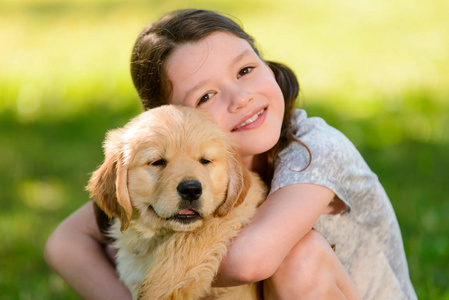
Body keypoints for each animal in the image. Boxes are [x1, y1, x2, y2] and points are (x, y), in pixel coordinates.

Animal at [87, 105, 266, 300]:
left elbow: (199, 234)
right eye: (157, 162)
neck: (159, 238)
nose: (191, 190)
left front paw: (161, 287)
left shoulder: (243, 204)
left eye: (205, 160)